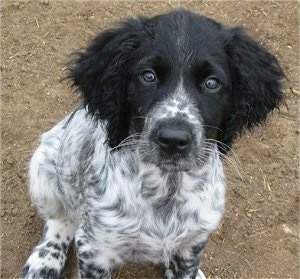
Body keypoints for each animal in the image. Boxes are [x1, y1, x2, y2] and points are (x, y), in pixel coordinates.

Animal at [21, 8, 284, 279]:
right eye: (148, 76)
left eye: (212, 82)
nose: (173, 140)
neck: (167, 186)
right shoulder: (95, 248)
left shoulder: (192, 244)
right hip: (42, 169)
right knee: (60, 221)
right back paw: (45, 260)